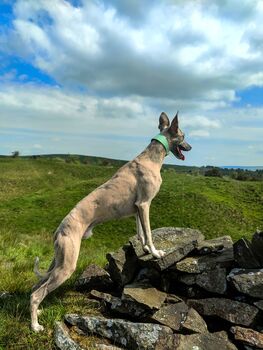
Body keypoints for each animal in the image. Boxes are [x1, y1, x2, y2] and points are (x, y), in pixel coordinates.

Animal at [30, 111, 192, 330]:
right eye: (183, 136)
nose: (190, 147)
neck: (152, 158)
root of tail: (59, 231)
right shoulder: (145, 204)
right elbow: (149, 233)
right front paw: (156, 252)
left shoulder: (137, 208)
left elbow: (141, 232)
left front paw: (145, 249)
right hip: (67, 265)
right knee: (36, 294)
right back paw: (35, 325)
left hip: (58, 261)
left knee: (37, 286)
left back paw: (38, 313)